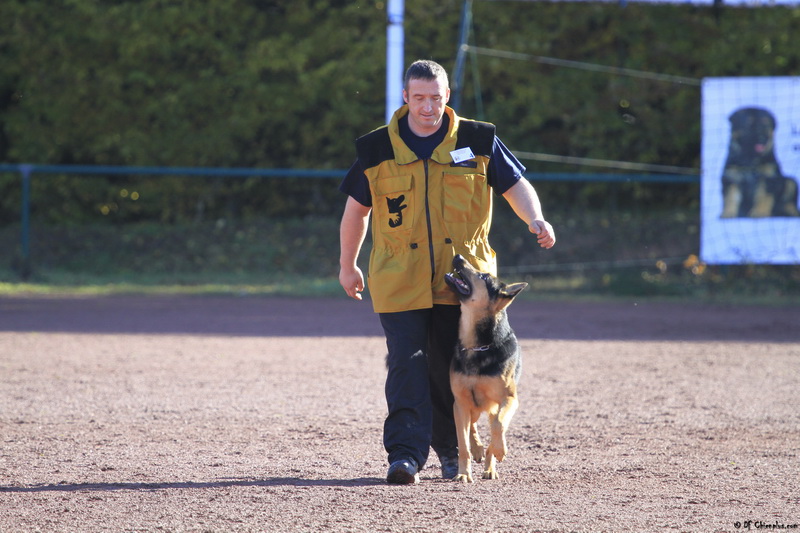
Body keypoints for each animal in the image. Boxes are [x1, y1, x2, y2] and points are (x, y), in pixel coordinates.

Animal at [440, 254, 528, 482]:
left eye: (484, 277)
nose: (458, 256)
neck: (477, 345)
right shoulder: (460, 402)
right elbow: (463, 444)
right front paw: (463, 473)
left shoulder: (509, 400)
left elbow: (498, 426)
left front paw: (499, 451)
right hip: (468, 406)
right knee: (472, 426)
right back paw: (478, 449)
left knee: (494, 424)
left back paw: (490, 465)